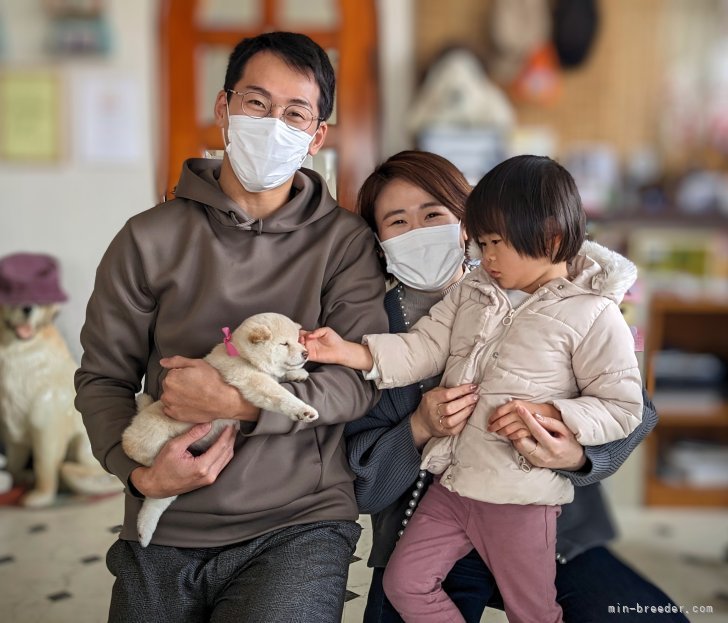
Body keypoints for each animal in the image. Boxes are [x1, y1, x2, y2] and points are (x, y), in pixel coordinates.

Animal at [122, 312, 318, 544]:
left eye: (297, 340)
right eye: (284, 344)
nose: (306, 353)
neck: (243, 355)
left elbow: (280, 378)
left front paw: (298, 374)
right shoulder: (251, 380)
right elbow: (279, 393)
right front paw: (303, 410)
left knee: (156, 501)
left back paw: (144, 532)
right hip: (152, 441)